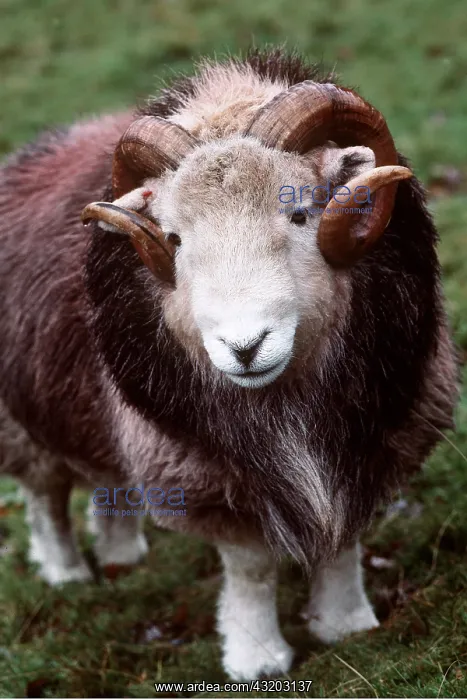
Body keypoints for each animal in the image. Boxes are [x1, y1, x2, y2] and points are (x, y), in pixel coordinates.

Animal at [0, 48, 458, 681]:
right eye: (173, 237)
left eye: (300, 215)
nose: (244, 347)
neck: (285, 404)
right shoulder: (206, 474)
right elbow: (251, 567)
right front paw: (256, 658)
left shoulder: (375, 442)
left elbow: (343, 539)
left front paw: (347, 624)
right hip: (21, 422)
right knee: (44, 497)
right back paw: (66, 572)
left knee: (104, 480)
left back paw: (121, 558)